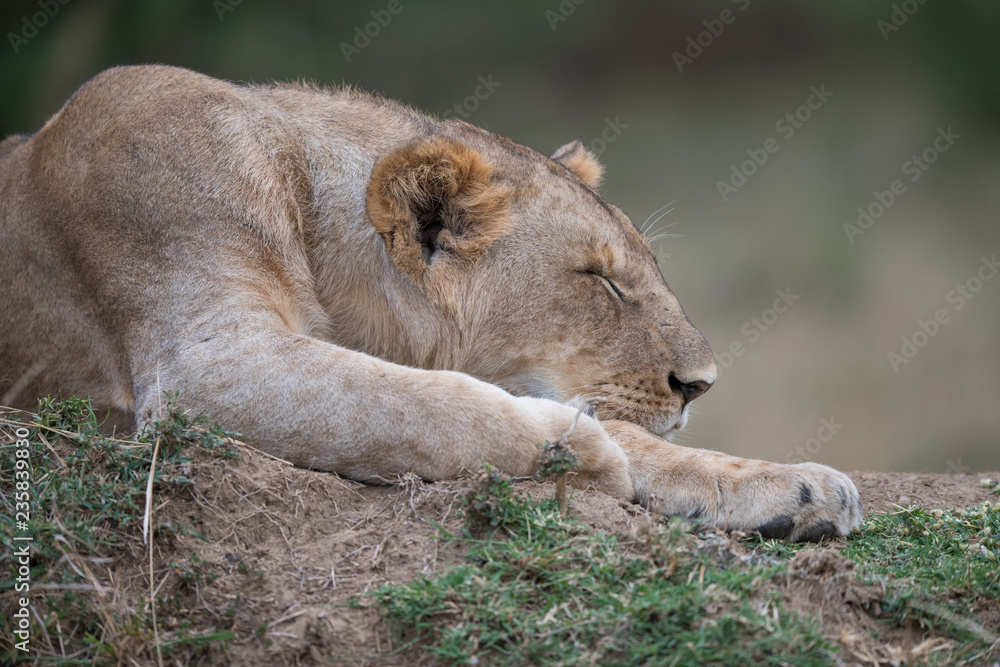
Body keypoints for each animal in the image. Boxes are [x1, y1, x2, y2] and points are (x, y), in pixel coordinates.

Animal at [0, 65, 861, 542]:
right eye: (600, 279)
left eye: (645, 271)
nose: (701, 384)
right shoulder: (205, 364)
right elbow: (432, 403)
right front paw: (576, 448)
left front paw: (798, 488)